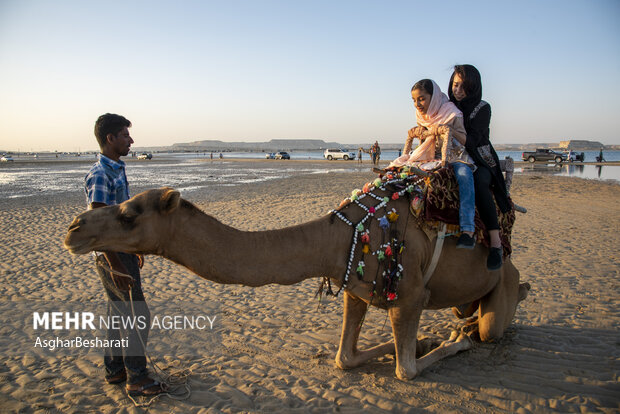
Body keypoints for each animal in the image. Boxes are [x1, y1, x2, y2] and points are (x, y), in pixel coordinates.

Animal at [61, 186, 528, 380]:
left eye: (128, 213)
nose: (73, 228)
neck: (339, 238)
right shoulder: (356, 291)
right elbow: (345, 358)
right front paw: (426, 339)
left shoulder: (411, 295)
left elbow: (405, 371)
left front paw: (447, 342)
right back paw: (462, 322)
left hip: (502, 281)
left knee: (493, 325)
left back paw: (473, 327)